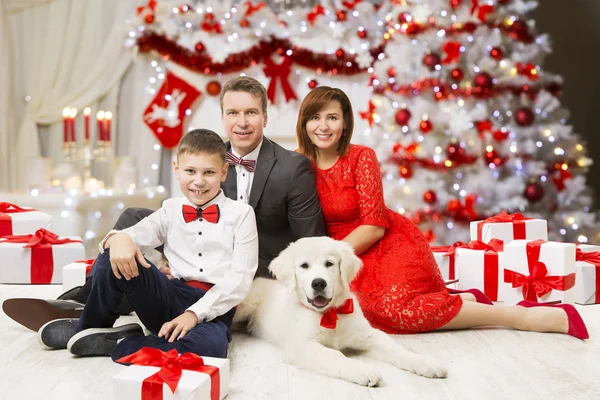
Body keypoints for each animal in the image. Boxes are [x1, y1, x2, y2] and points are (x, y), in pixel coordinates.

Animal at [232, 236, 448, 386]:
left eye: (329, 263)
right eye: (304, 266)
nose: (319, 283)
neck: (330, 314)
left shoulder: (369, 335)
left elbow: (397, 349)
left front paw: (425, 363)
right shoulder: (300, 345)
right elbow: (334, 355)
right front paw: (362, 370)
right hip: (244, 306)